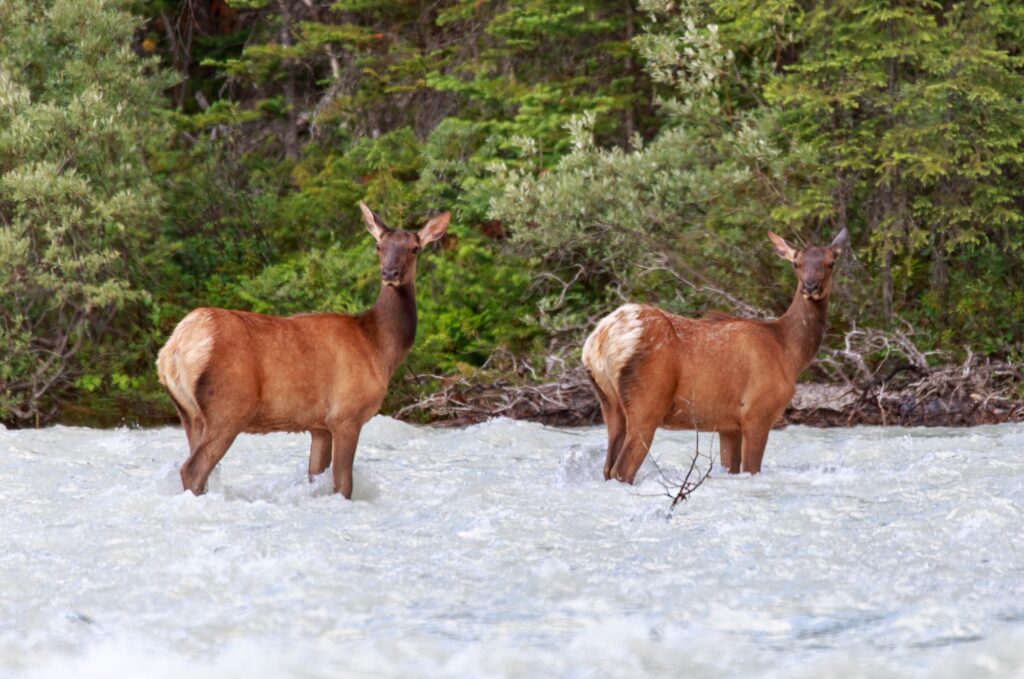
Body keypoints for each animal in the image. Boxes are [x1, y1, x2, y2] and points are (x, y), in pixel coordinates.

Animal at [156, 203, 450, 499]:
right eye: (379, 246)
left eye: (414, 248)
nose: (390, 273)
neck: (379, 347)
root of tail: (175, 348)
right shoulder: (346, 415)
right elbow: (343, 484)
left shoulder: (319, 426)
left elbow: (316, 476)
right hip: (227, 407)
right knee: (193, 469)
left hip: (189, 413)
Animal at [582, 229, 848, 483]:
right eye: (796, 263)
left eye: (831, 262)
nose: (810, 287)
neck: (789, 352)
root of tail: (601, 340)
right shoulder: (757, 412)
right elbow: (751, 469)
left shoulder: (728, 425)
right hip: (647, 403)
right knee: (622, 470)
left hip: (610, 404)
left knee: (607, 467)